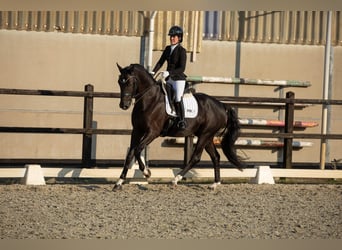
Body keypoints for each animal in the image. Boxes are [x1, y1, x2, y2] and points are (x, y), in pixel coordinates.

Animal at [113, 63, 242, 190]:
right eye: (119, 82)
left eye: (129, 82)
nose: (124, 105)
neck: (150, 100)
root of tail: (222, 105)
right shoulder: (137, 130)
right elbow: (130, 154)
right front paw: (119, 182)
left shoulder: (153, 132)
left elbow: (138, 149)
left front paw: (146, 172)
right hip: (207, 136)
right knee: (215, 156)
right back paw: (215, 183)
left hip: (205, 135)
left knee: (196, 157)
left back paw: (175, 179)